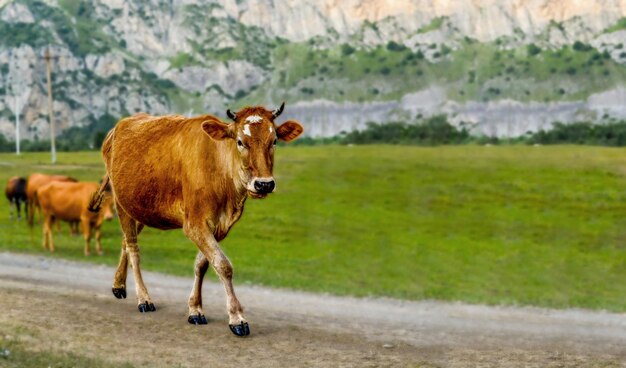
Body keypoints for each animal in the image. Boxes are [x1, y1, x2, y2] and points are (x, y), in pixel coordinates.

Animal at [88, 103, 302, 336]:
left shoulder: (219, 226)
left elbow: (202, 264)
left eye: (274, 140)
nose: (264, 184)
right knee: (133, 248)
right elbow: (223, 265)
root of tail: (117, 127)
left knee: (126, 242)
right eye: (240, 141)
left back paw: (119, 285)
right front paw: (237, 317)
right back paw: (144, 298)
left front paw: (195, 309)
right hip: (121, 204)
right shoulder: (195, 224)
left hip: (140, 206)